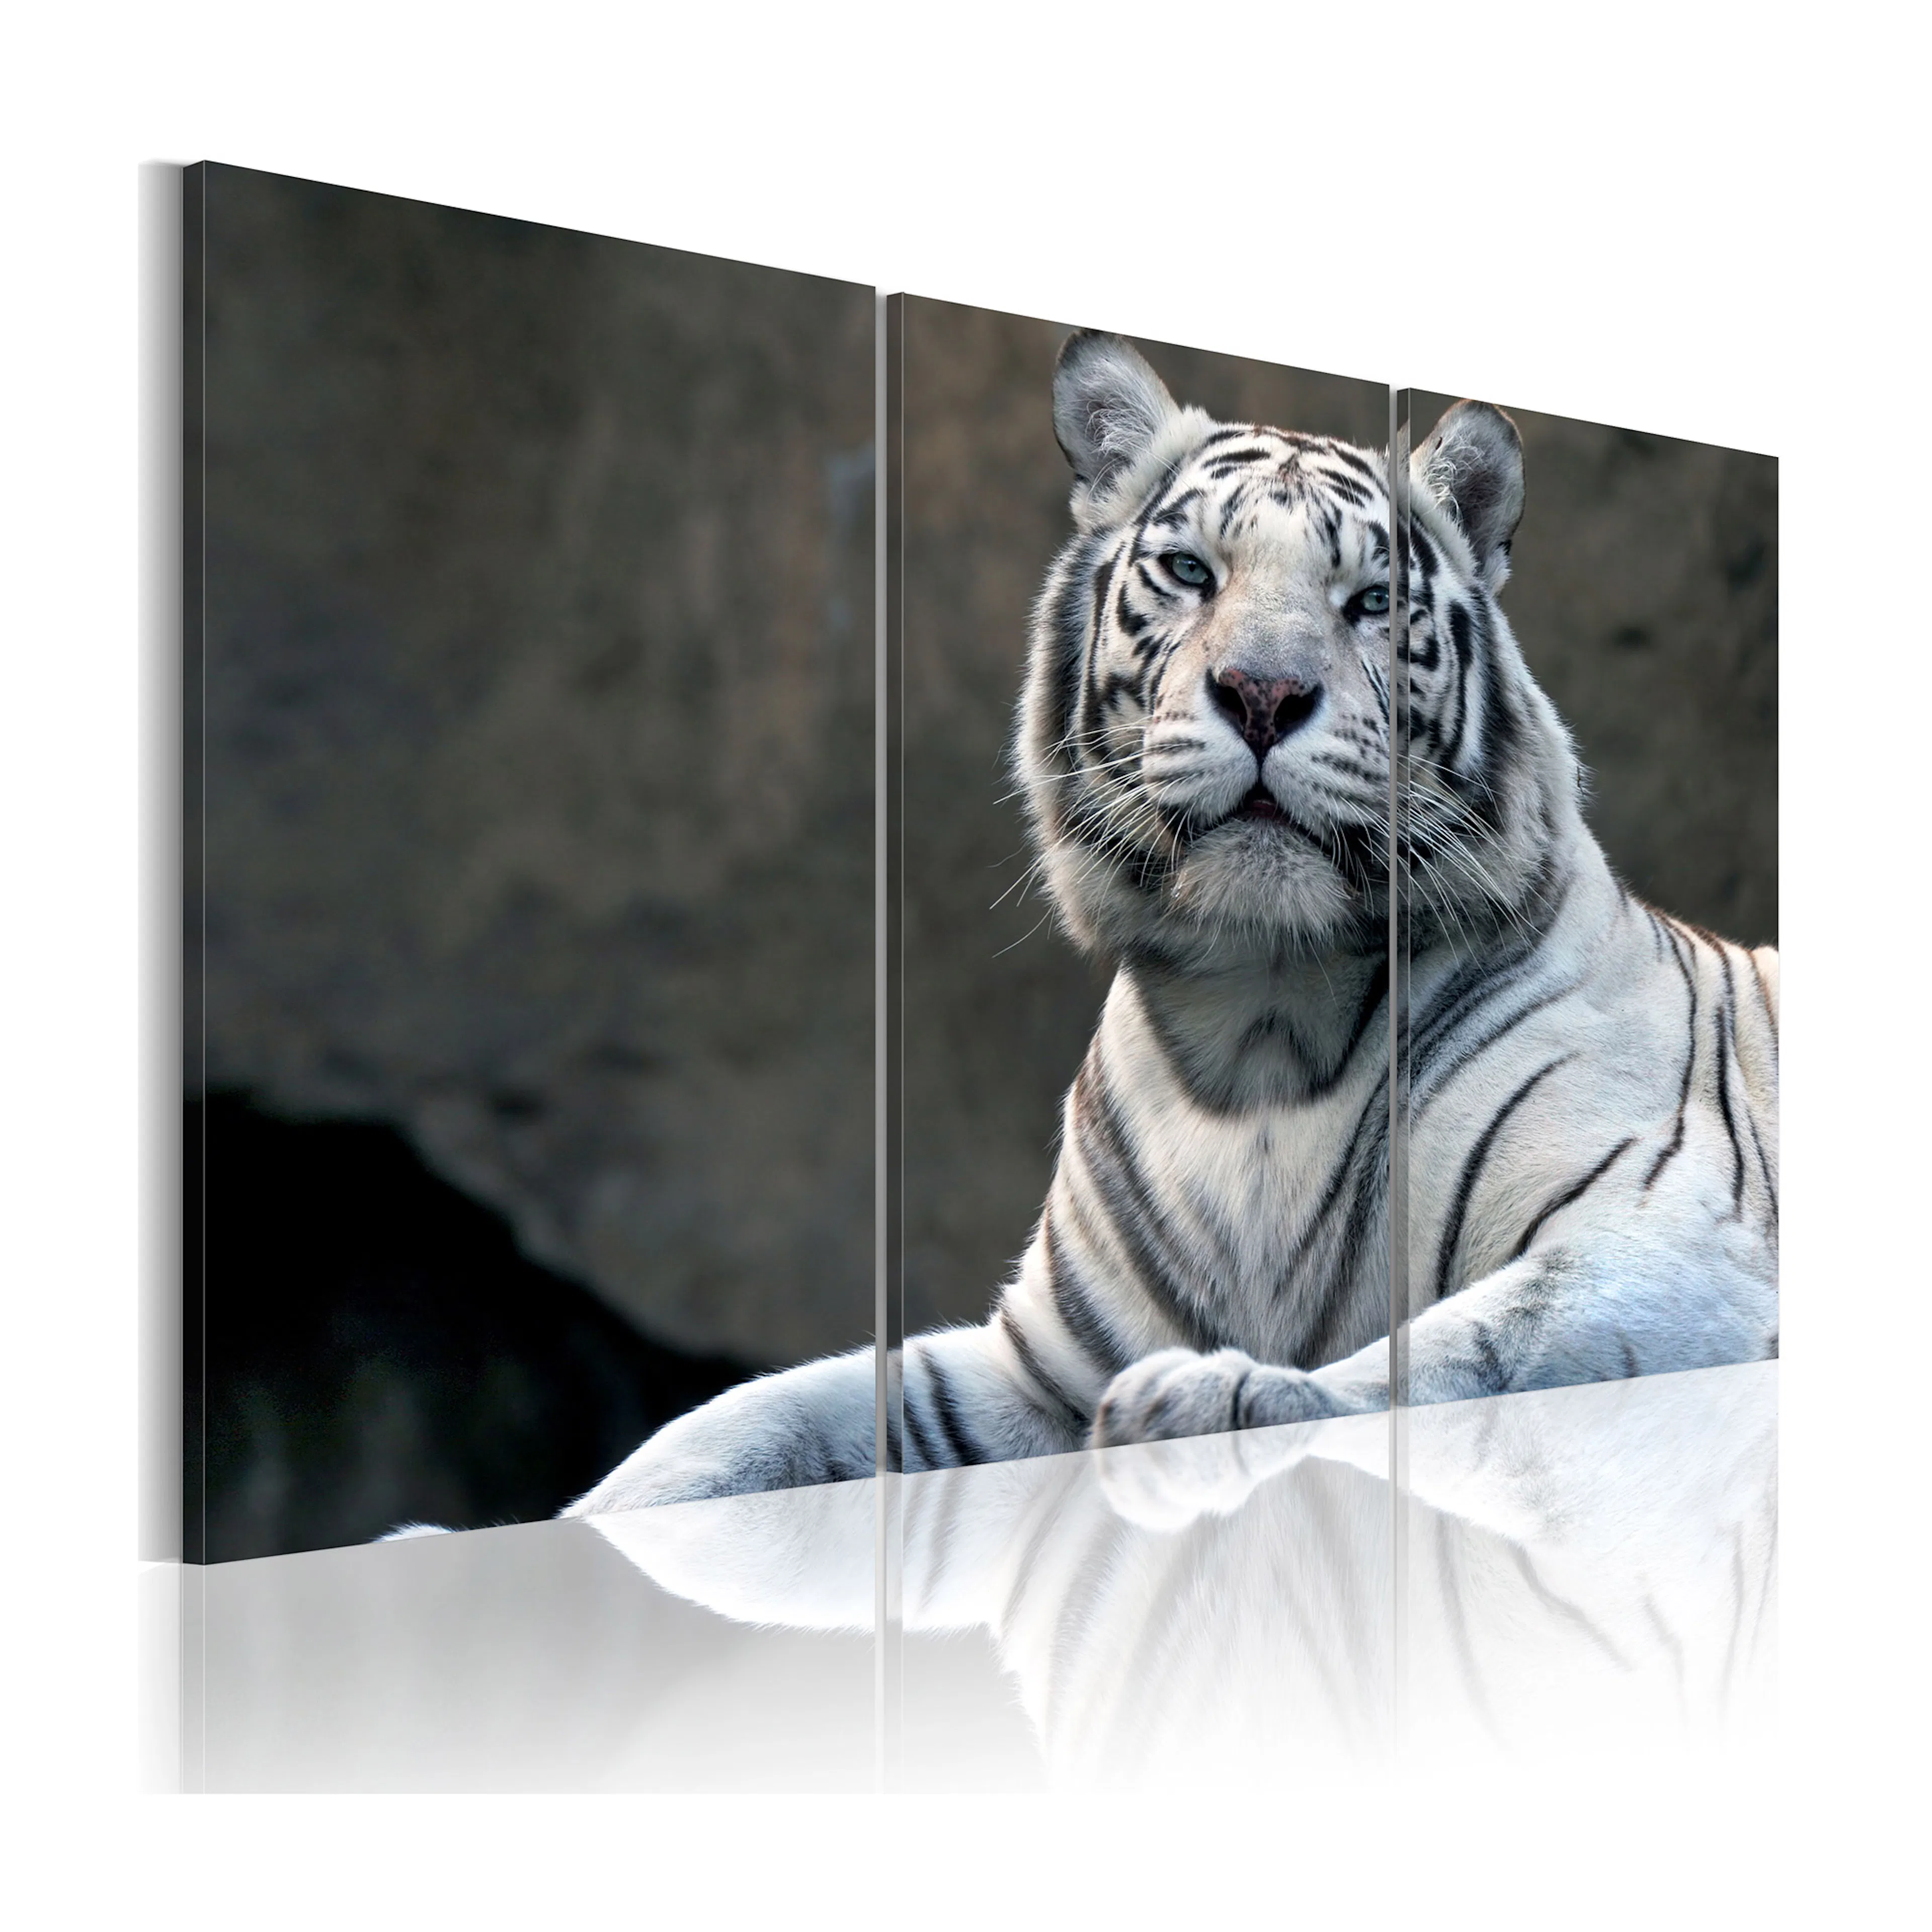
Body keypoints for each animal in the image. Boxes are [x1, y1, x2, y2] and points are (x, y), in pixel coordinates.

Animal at [566, 330, 1778, 1517]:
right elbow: (751, 1421)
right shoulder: (1036, 1371)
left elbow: (1448, 1358)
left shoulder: (1664, 1242)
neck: (1260, 1028)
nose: (1264, 693)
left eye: (1372, 599)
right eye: (1194, 571)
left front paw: (1209, 1399)